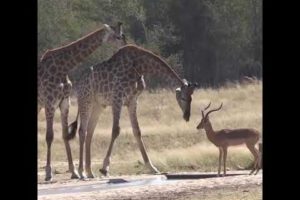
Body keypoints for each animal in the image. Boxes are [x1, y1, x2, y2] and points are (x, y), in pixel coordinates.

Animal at [38, 21, 125, 181]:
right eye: (117, 36)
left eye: (122, 35)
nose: (125, 45)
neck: (63, 66)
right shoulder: (50, 102)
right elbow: (49, 136)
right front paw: (48, 173)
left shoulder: (64, 103)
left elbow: (65, 135)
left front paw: (74, 172)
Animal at [67, 44, 198, 178]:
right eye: (183, 98)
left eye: (191, 99)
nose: (187, 116)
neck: (140, 67)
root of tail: (78, 83)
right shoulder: (117, 98)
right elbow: (115, 130)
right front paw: (105, 168)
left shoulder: (133, 101)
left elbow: (137, 131)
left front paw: (152, 168)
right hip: (86, 100)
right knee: (82, 131)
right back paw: (81, 172)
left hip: (98, 105)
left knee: (90, 131)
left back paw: (89, 172)